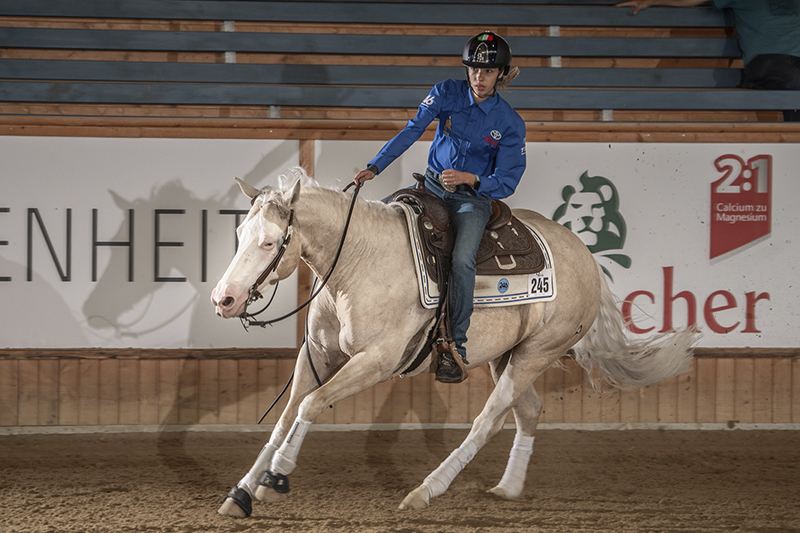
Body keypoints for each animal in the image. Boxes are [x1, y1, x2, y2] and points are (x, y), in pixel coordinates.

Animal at [209, 166, 696, 516]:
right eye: (240, 235)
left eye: (270, 242)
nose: (224, 299)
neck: (358, 263)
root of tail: (587, 257)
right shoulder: (318, 356)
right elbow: (285, 417)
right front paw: (242, 492)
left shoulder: (376, 361)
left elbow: (310, 406)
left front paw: (276, 478)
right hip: (506, 356)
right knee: (526, 411)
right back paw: (507, 488)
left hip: (538, 352)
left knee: (488, 419)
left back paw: (426, 490)